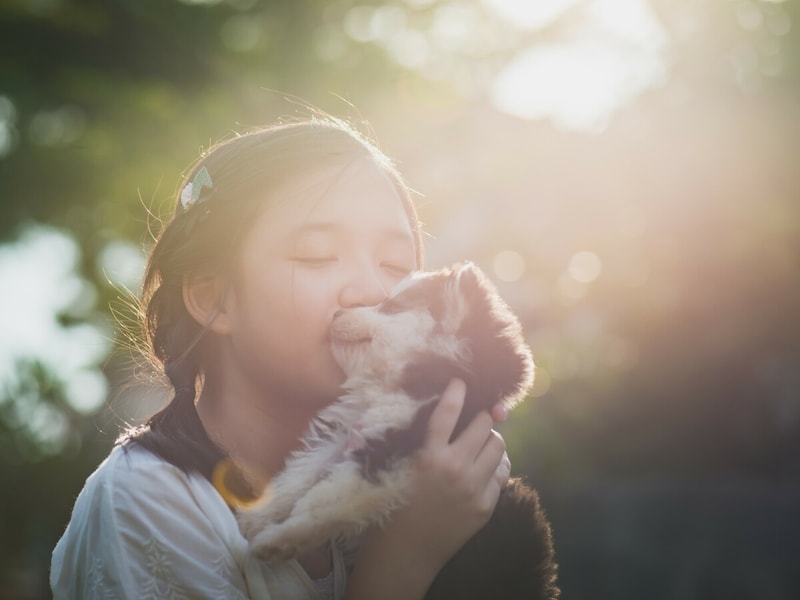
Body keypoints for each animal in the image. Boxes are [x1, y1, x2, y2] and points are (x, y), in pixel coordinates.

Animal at [238, 262, 560, 600]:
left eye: (391, 307)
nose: (337, 313)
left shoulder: (390, 452)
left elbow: (325, 500)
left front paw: (279, 539)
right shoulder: (346, 437)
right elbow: (299, 474)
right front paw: (258, 515)